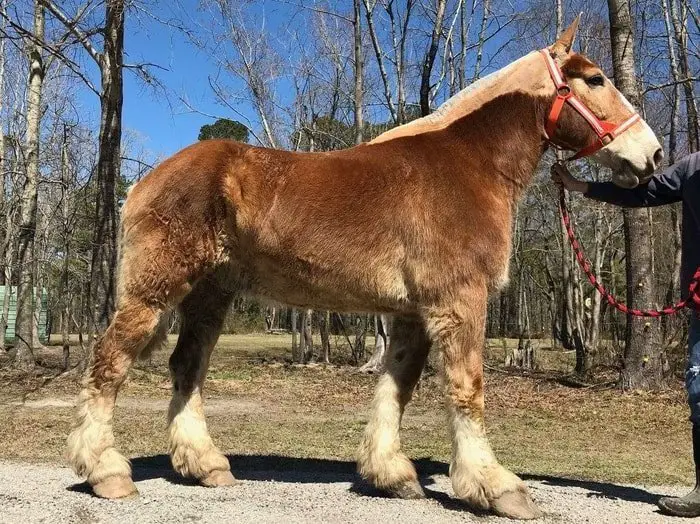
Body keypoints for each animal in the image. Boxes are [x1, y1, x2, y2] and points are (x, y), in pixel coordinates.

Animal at [68, 19, 664, 520]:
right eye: (594, 79)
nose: (653, 155)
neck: (467, 165)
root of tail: (145, 182)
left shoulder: (413, 314)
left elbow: (394, 387)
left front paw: (391, 476)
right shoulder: (459, 302)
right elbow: (467, 389)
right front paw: (496, 488)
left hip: (209, 296)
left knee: (187, 367)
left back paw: (205, 466)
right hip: (155, 292)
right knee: (109, 362)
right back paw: (106, 473)